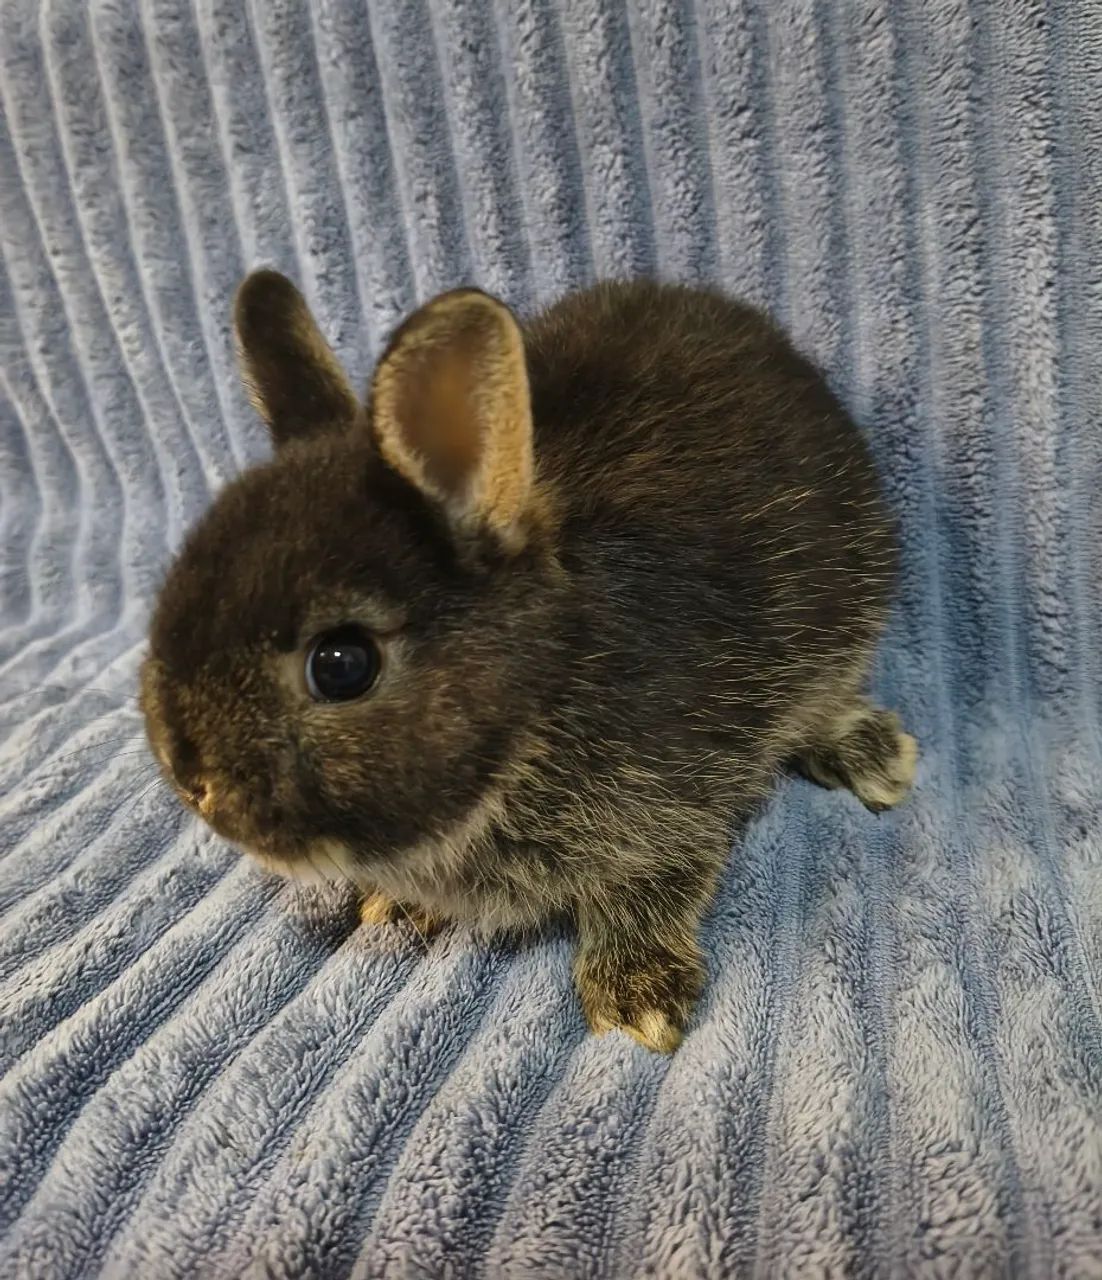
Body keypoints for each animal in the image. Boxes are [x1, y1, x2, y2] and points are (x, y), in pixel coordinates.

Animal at [141, 272, 916, 1053]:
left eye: (341, 666)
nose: (193, 782)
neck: (540, 701)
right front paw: (398, 906)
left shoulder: (682, 796)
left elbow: (655, 879)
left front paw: (638, 996)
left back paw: (876, 755)